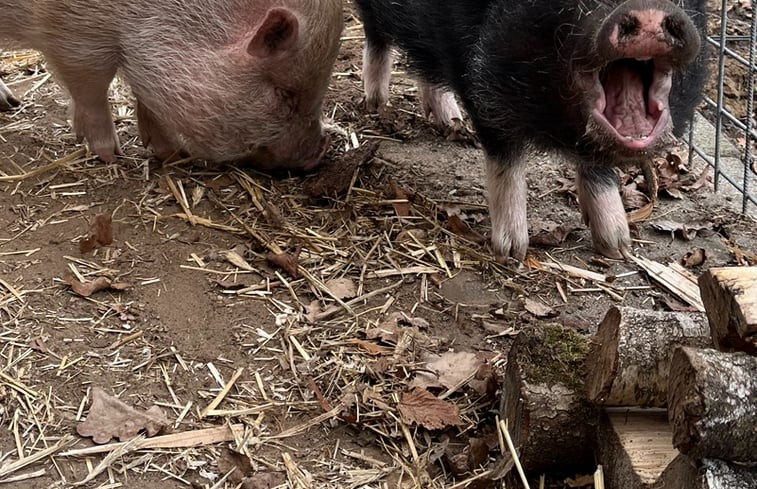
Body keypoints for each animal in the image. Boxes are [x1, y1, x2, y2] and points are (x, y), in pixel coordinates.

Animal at [352, 0, 704, 260]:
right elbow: (505, 156)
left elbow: (597, 165)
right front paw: (512, 253)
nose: (649, 12)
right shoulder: (477, 77)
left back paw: (451, 121)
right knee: (377, 35)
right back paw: (375, 103)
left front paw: (618, 247)